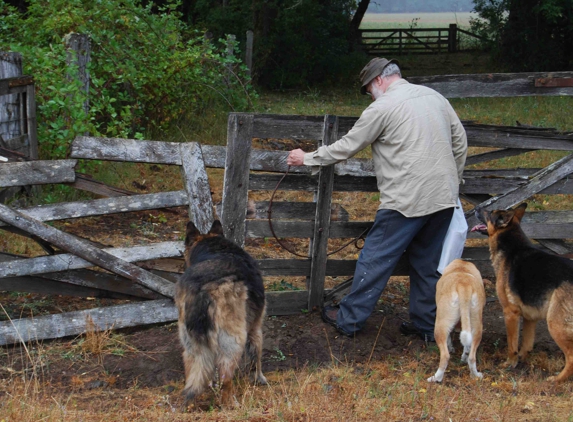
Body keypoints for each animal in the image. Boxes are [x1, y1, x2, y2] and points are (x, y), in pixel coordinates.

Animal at [175, 219, 268, 408]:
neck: (215, 248)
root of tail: (202, 288)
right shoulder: (255, 329)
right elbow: (256, 358)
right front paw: (259, 379)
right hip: (233, 342)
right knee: (226, 378)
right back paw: (231, 405)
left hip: (190, 345)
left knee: (194, 372)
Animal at [472, 204, 572, 382]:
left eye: (490, 213)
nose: (477, 207)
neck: (512, 246)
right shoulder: (530, 318)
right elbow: (527, 343)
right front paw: (522, 360)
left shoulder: (510, 313)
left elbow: (512, 344)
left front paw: (510, 364)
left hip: (555, 324)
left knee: (571, 357)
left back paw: (557, 379)